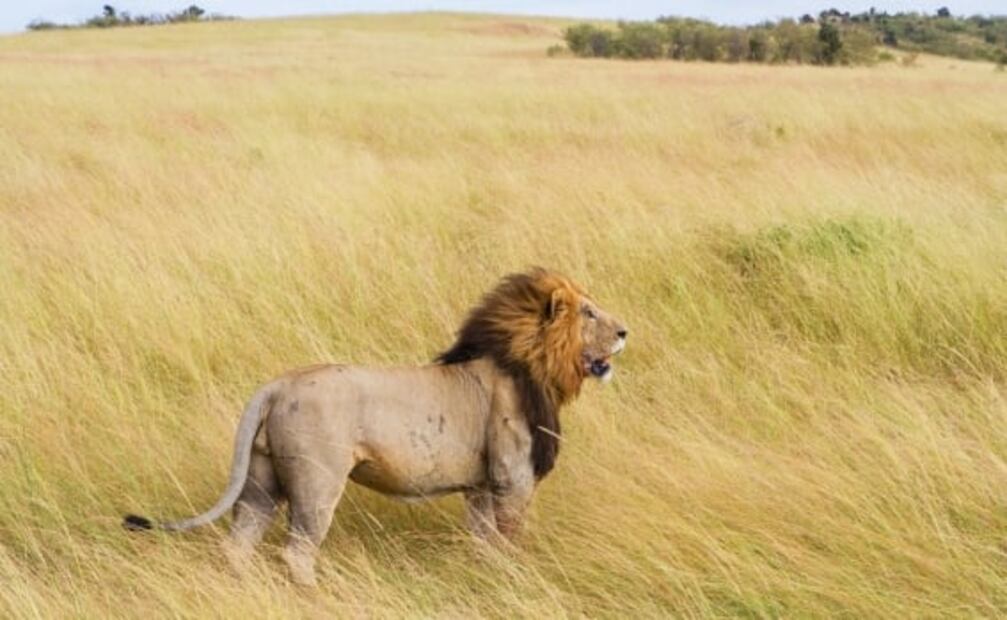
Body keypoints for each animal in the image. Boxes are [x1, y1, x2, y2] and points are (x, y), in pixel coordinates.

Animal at [123, 268, 627, 585]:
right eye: (589, 313)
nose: (625, 332)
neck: (532, 366)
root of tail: (277, 385)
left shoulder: (481, 486)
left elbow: (484, 541)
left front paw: (487, 575)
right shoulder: (511, 478)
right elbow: (509, 539)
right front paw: (516, 577)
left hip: (261, 481)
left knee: (238, 545)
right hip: (318, 482)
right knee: (297, 551)